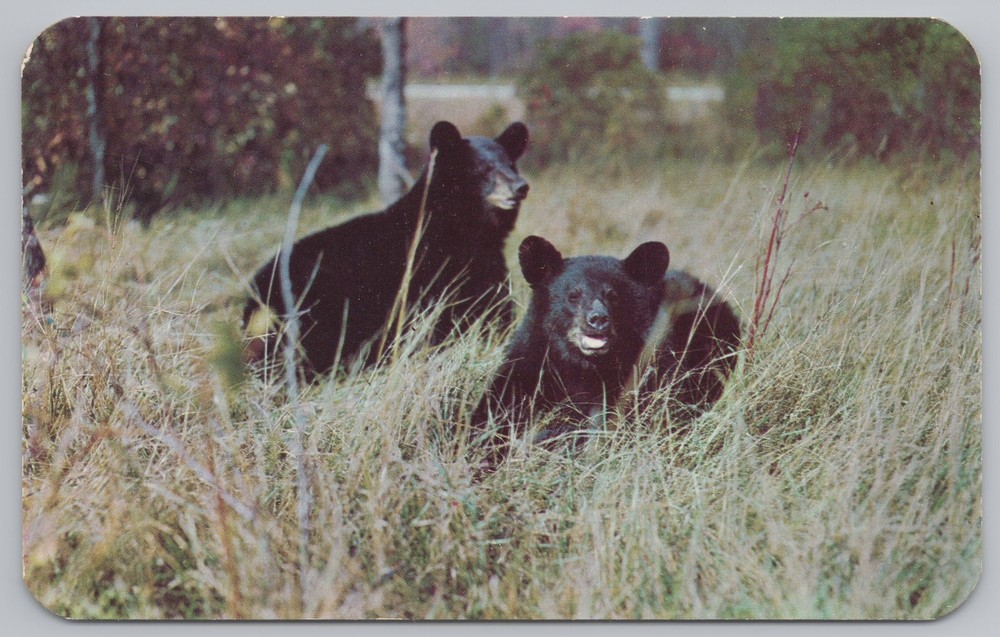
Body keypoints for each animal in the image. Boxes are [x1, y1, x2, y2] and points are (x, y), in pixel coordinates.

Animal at [244, 120, 529, 376]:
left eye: (511, 163)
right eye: (485, 167)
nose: (521, 186)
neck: (464, 231)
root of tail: (252, 297)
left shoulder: (485, 269)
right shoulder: (428, 276)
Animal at [469, 235, 740, 470]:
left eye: (613, 295)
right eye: (573, 295)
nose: (598, 319)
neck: (584, 366)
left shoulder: (649, 371)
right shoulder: (531, 362)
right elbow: (499, 407)